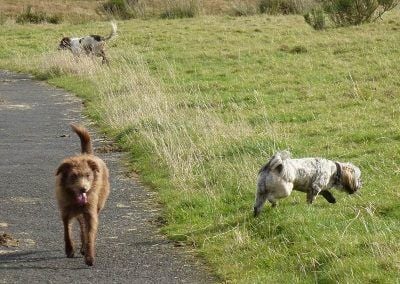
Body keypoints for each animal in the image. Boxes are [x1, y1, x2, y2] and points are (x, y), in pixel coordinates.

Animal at [55, 123, 109, 266]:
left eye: (88, 175)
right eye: (73, 176)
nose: (83, 189)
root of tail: (87, 154)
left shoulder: (90, 213)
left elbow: (89, 234)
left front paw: (89, 257)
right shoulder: (65, 212)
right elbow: (67, 231)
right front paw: (69, 250)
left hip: (98, 205)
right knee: (80, 224)